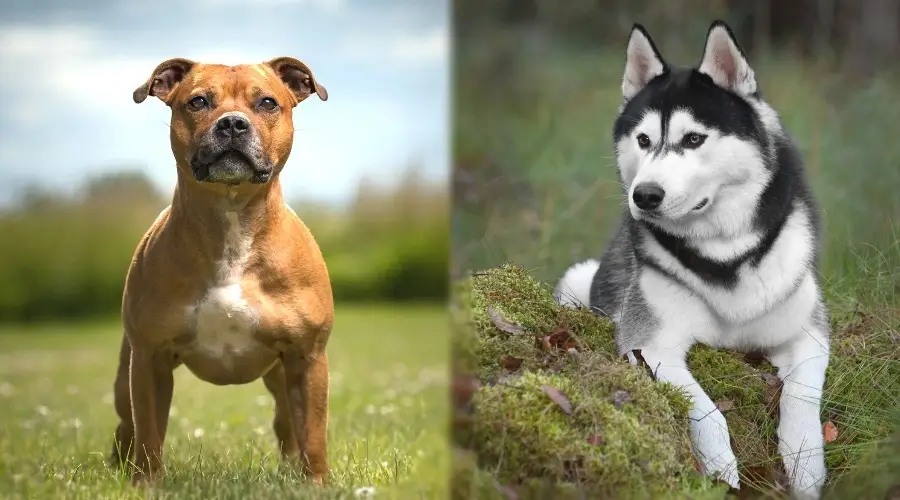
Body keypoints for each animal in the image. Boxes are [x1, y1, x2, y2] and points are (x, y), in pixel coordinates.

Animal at [109, 56, 334, 486]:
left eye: (267, 102)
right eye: (197, 102)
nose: (232, 123)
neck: (230, 222)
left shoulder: (307, 357)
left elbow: (313, 434)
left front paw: (317, 485)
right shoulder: (149, 359)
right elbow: (149, 435)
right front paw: (147, 485)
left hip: (282, 377)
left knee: (287, 424)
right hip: (125, 375)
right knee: (127, 426)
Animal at [556, 20, 828, 500]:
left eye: (694, 139)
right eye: (644, 140)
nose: (644, 195)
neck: (723, 253)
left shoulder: (810, 334)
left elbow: (801, 395)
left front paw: (805, 465)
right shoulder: (650, 343)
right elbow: (704, 408)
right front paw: (720, 470)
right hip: (579, 280)